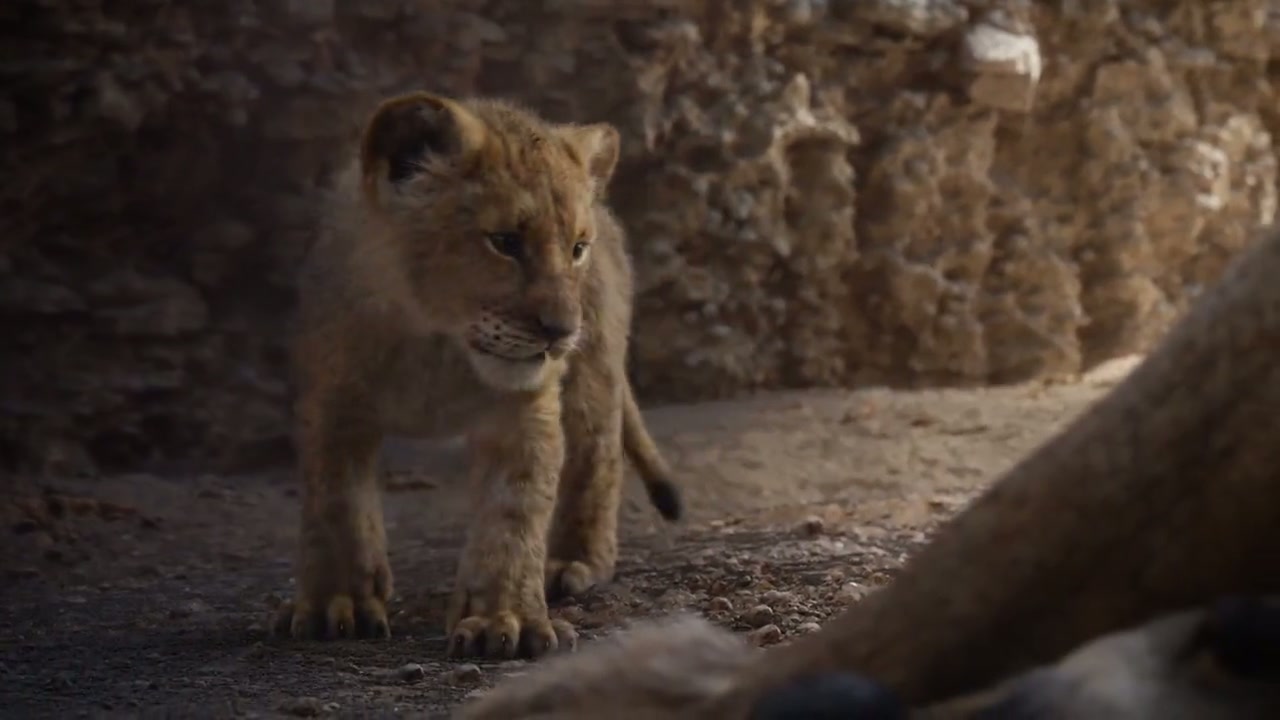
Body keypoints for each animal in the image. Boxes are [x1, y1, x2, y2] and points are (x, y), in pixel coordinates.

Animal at [271, 91, 682, 659]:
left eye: (577, 248)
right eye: (505, 241)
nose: (561, 330)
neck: (432, 341)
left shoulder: (523, 408)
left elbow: (513, 512)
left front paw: (504, 620)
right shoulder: (332, 403)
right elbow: (336, 504)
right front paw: (340, 604)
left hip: (594, 368)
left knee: (596, 458)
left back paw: (573, 562)